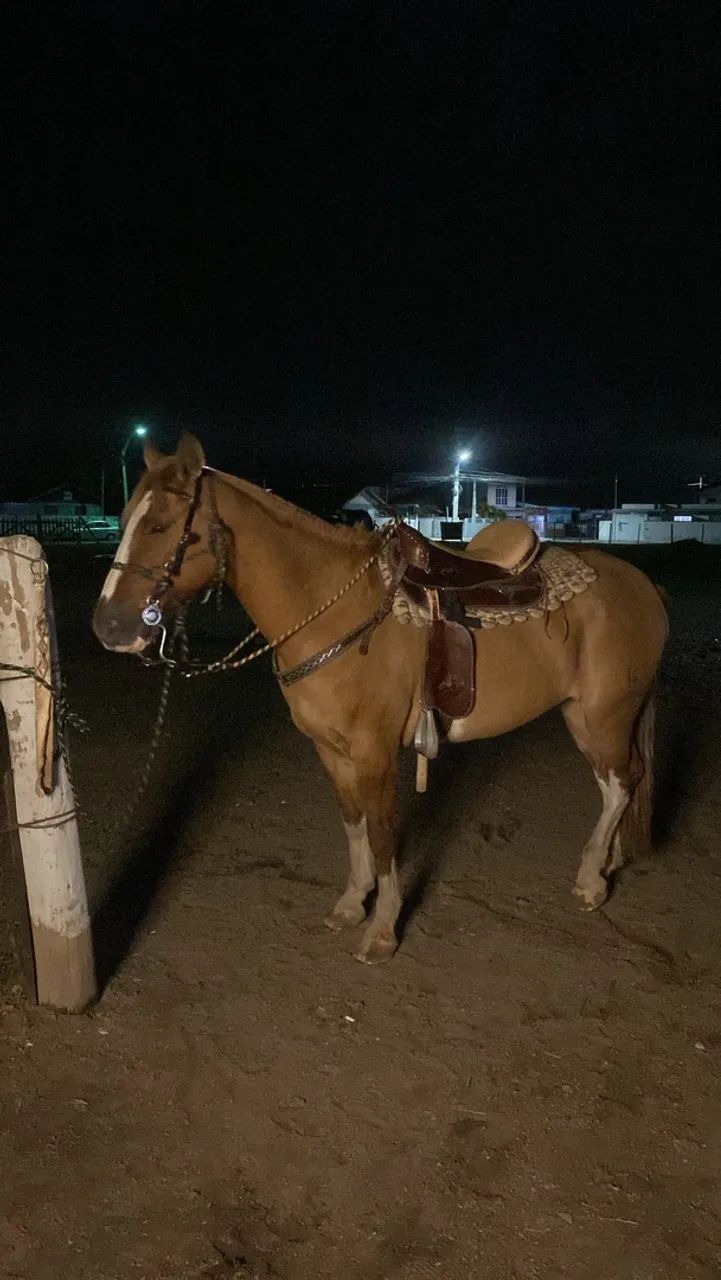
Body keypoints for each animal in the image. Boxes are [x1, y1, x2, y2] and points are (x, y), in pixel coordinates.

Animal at [93, 433, 668, 964]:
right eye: (124, 519)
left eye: (161, 526)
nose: (109, 627)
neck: (331, 611)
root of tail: (643, 585)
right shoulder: (330, 749)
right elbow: (353, 824)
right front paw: (353, 903)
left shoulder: (375, 751)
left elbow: (383, 831)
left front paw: (383, 929)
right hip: (582, 716)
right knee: (615, 781)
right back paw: (608, 862)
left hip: (606, 712)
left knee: (621, 783)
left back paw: (591, 880)